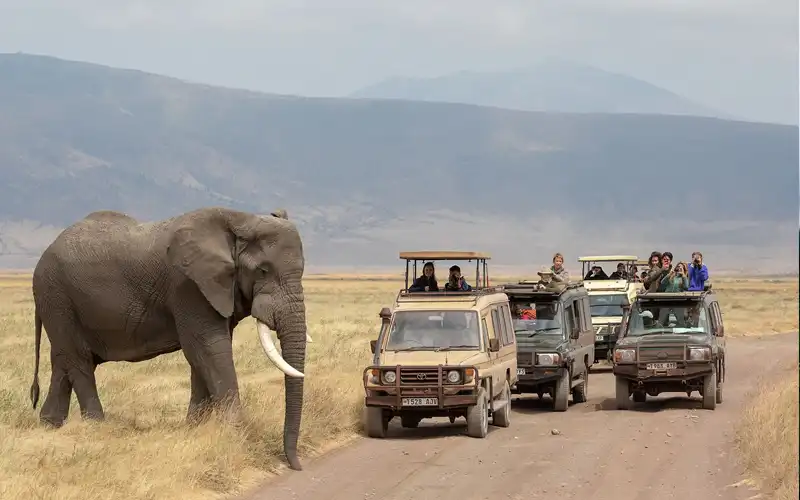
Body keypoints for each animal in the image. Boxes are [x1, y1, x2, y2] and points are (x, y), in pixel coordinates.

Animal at [28, 205, 310, 470]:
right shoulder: (188, 285)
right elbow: (208, 347)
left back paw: (50, 424)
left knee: (63, 362)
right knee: (79, 361)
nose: (295, 465)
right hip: (57, 297)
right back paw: (96, 425)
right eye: (263, 271)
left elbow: (204, 354)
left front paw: (195, 428)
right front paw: (235, 432)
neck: (240, 220)